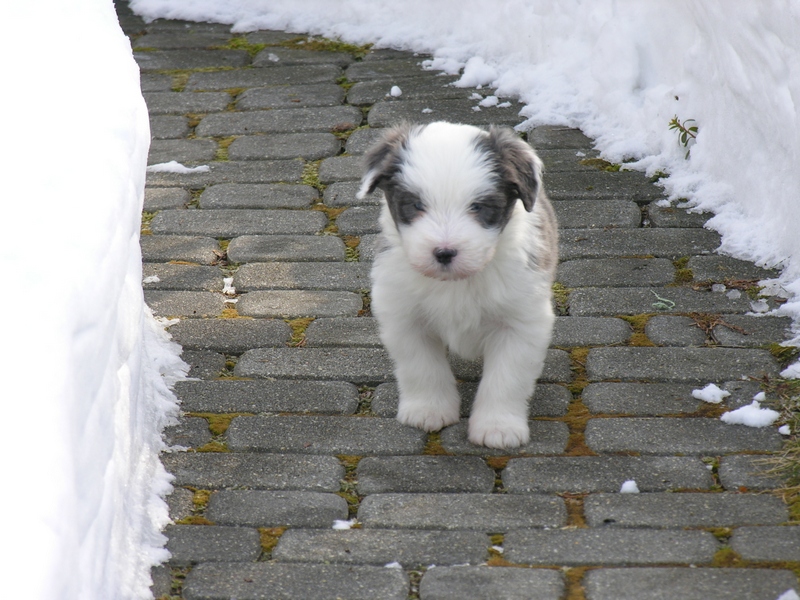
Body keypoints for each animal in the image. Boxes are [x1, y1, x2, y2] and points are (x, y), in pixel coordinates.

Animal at [357, 121, 558, 449]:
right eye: (416, 204)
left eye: (478, 206)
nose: (444, 252)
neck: (456, 284)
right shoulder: (404, 317)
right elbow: (422, 367)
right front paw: (428, 411)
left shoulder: (521, 323)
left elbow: (506, 378)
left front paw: (497, 427)